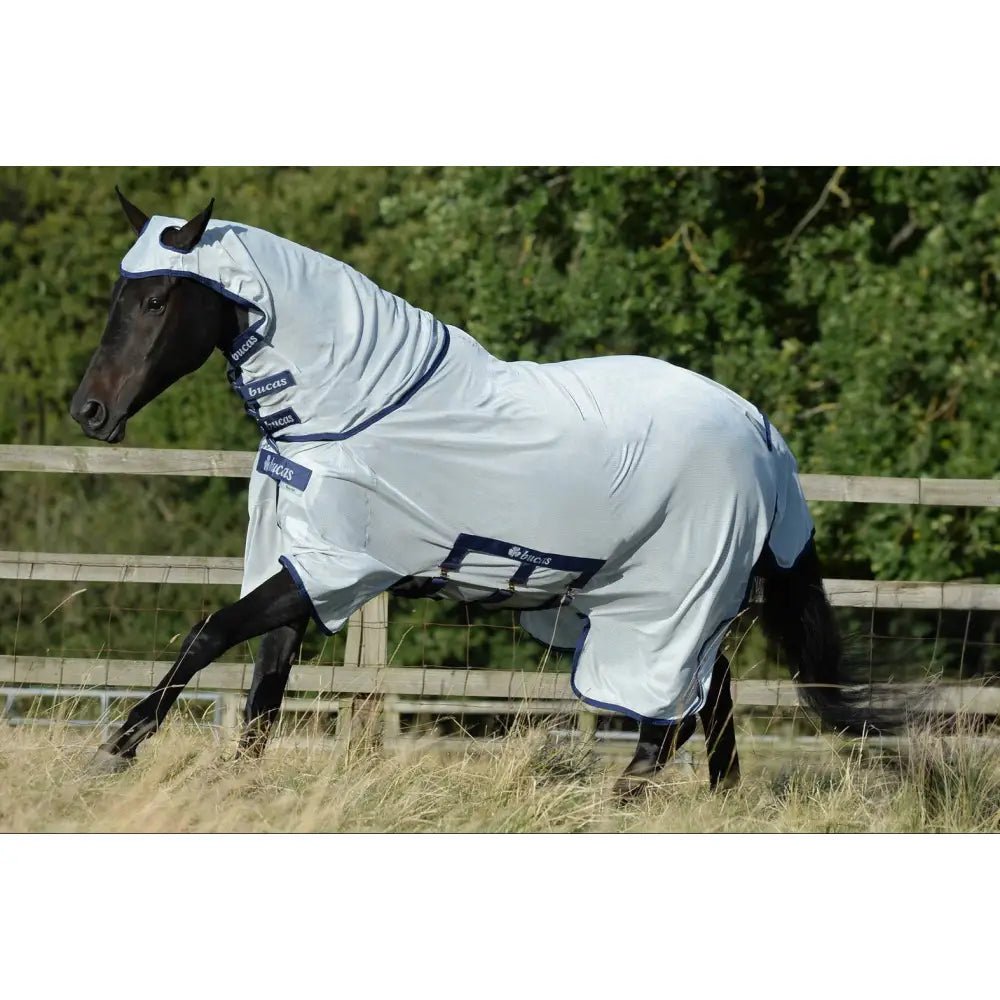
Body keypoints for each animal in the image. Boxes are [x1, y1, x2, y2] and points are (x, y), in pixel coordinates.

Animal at [70, 189, 904, 797]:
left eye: (155, 303)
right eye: (116, 294)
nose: (90, 411)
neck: (353, 410)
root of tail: (760, 430)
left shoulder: (344, 568)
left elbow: (207, 633)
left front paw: (118, 747)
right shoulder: (305, 568)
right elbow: (261, 693)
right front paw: (234, 782)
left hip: (673, 596)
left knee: (679, 705)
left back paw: (626, 796)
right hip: (635, 599)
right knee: (709, 690)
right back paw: (710, 797)